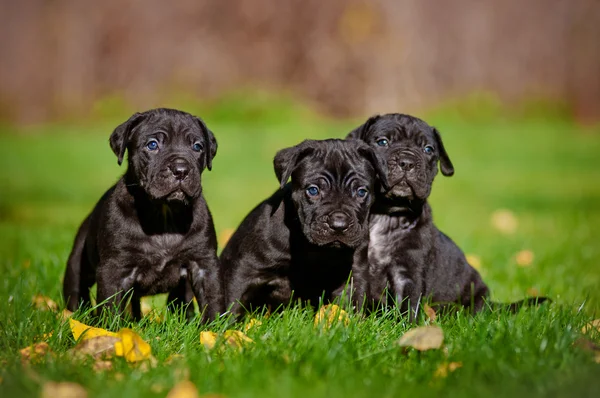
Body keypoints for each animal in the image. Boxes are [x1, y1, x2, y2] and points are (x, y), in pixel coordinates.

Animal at [63, 107, 223, 322]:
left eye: (197, 147)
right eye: (152, 144)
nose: (181, 170)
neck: (164, 213)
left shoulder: (204, 264)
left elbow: (213, 300)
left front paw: (216, 328)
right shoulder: (114, 269)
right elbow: (110, 306)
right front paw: (109, 328)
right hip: (77, 264)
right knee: (76, 291)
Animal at [218, 138, 386, 316]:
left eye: (361, 192)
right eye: (313, 190)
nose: (339, 225)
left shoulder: (354, 274)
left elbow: (352, 306)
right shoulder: (245, 269)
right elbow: (232, 304)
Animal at [346, 113, 548, 316]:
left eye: (428, 149)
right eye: (382, 142)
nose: (407, 162)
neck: (386, 214)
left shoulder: (409, 272)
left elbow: (408, 305)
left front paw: (405, 323)